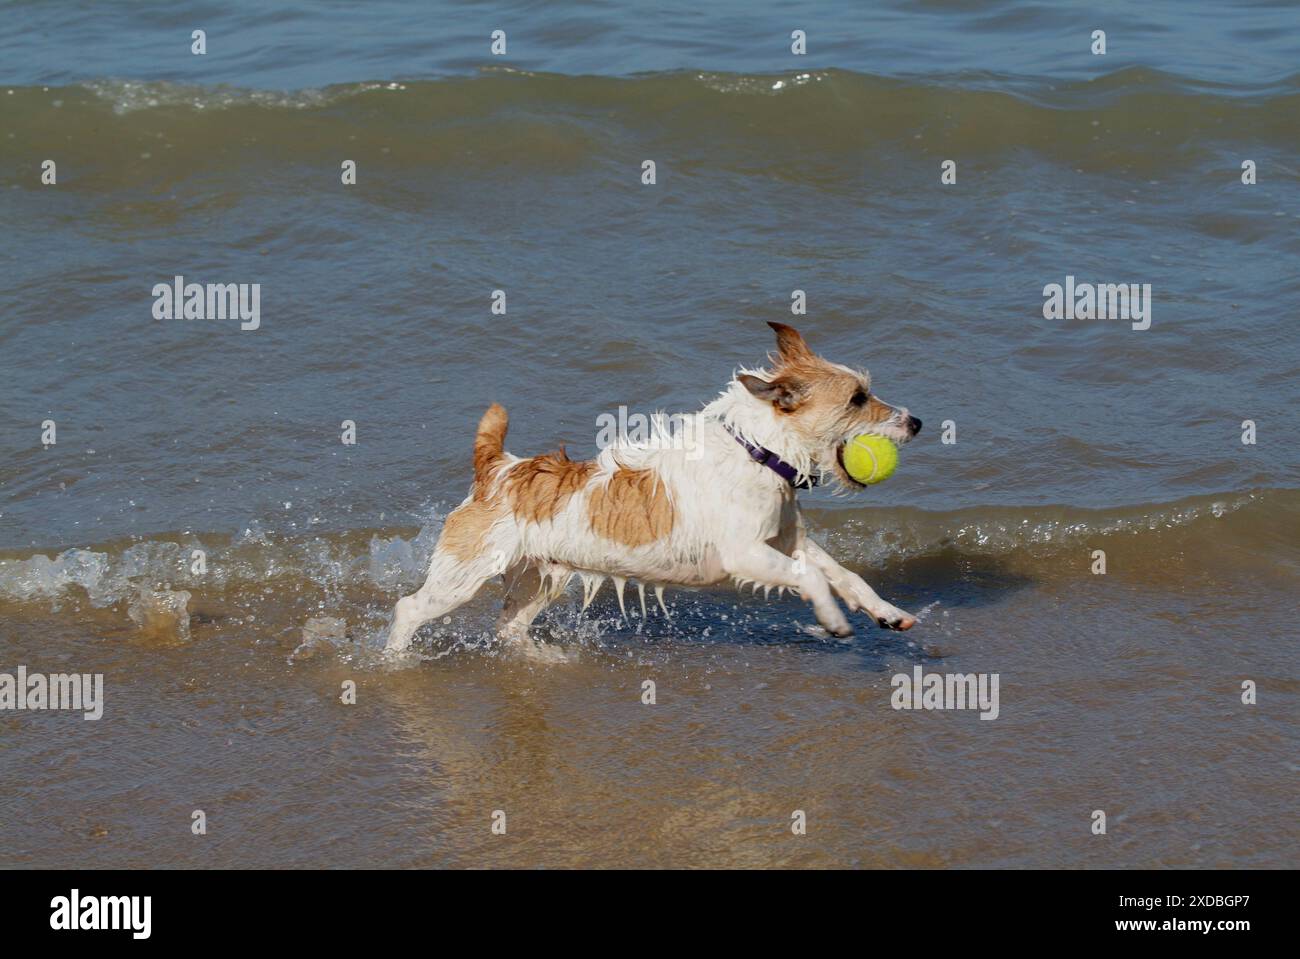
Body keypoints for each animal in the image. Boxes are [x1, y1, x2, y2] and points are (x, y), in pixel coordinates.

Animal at [384, 323, 925, 657]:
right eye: (857, 399)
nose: (917, 422)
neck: (757, 452)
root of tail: (498, 467)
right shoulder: (745, 554)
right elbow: (810, 578)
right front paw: (833, 619)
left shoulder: (790, 542)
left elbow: (844, 575)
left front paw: (888, 612)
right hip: (464, 575)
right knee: (410, 609)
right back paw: (393, 661)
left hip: (543, 577)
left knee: (510, 627)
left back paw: (545, 660)